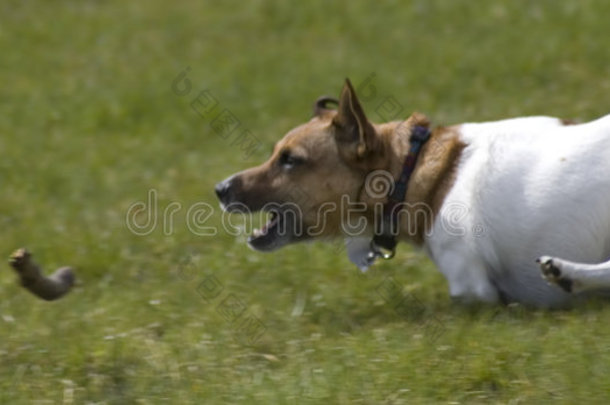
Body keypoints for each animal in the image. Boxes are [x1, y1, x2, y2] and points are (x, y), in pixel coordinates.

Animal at [216, 78, 608, 306]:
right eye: (275, 153)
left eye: (290, 160)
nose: (219, 188)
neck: (413, 170)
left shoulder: (472, 287)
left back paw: (568, 273)